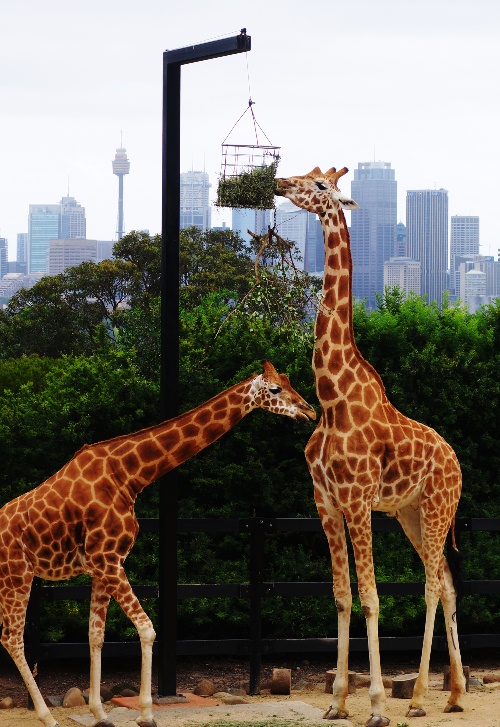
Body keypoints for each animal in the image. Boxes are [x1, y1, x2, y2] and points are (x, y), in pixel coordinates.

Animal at [0, 360, 315, 727]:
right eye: (276, 389)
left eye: (289, 381)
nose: (309, 411)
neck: (129, 475)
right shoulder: (108, 559)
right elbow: (148, 628)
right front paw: (147, 713)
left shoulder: (101, 565)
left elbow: (96, 636)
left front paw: (100, 714)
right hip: (17, 576)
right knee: (13, 639)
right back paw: (48, 717)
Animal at [276, 167, 466, 726]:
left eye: (319, 185)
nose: (279, 182)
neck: (331, 395)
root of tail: (459, 464)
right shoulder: (325, 501)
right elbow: (341, 596)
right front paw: (337, 700)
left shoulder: (358, 501)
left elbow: (372, 597)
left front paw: (378, 703)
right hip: (410, 513)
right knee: (446, 582)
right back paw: (453, 693)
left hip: (436, 507)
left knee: (431, 585)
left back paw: (420, 695)